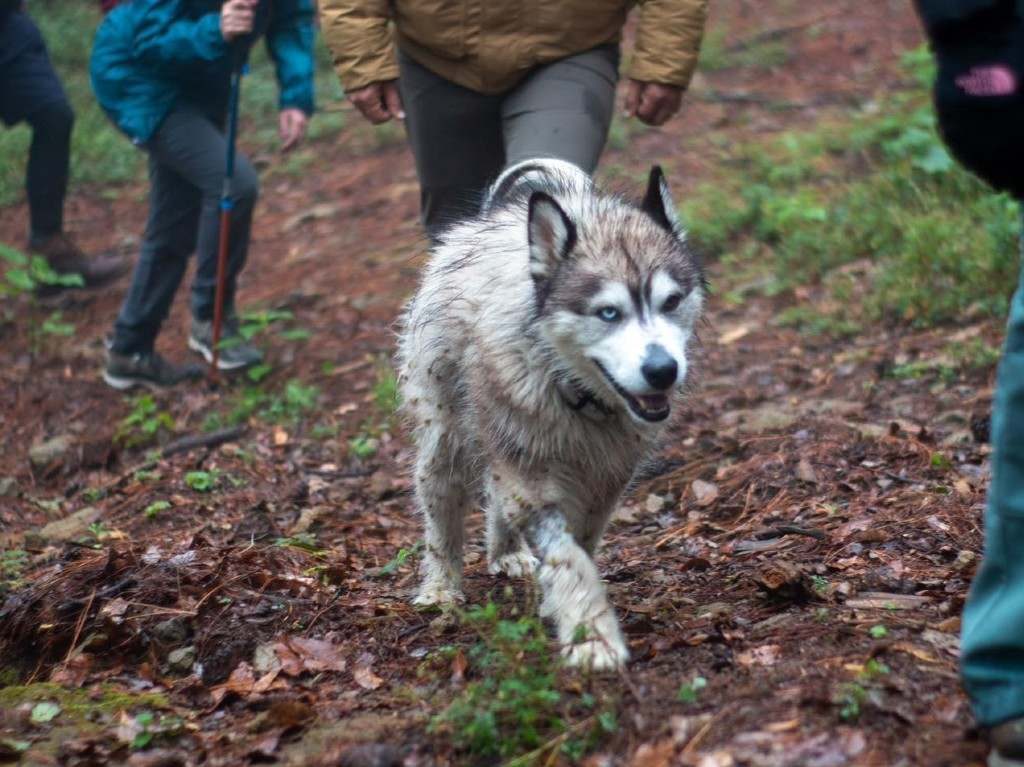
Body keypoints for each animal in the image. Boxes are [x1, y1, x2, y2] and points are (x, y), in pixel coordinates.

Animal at [399, 161, 704, 671]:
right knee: (442, 504)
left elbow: (581, 542)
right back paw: (441, 585)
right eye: (608, 312)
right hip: (448, 436)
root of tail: (488, 219)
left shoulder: (606, 479)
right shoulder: (530, 477)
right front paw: (591, 636)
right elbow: (568, 558)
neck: (579, 395)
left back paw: (505, 551)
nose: (662, 370)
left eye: (671, 302)